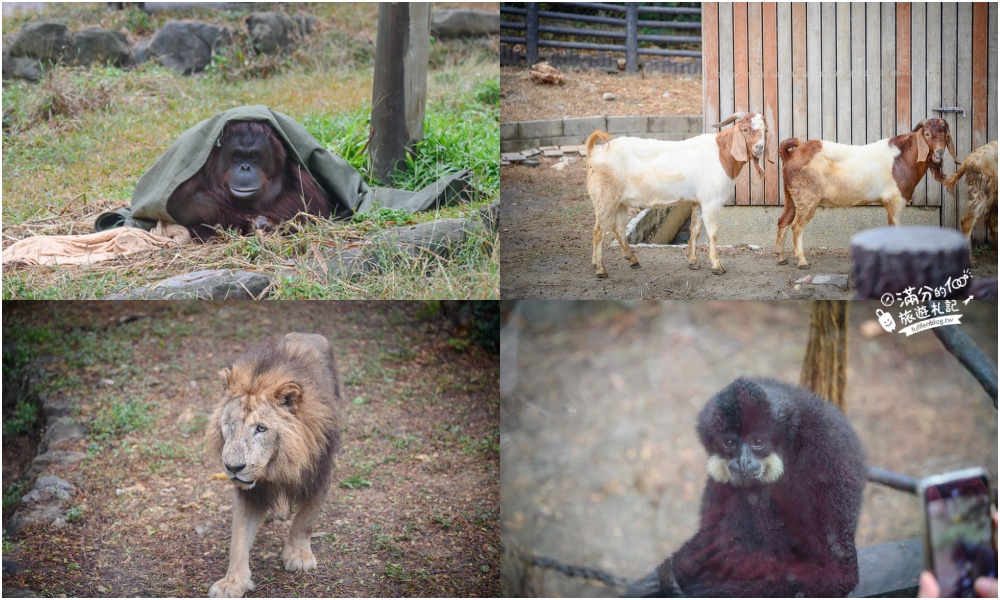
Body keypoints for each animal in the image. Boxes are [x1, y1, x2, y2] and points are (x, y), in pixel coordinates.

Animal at [205, 330, 342, 596]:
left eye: (261, 428)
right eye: (230, 424)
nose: (233, 468)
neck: (278, 463)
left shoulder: (319, 472)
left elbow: (306, 519)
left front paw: (298, 556)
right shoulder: (250, 491)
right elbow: (238, 538)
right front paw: (232, 582)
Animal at [584, 111, 768, 278]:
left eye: (765, 130)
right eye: (745, 129)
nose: (759, 147)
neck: (721, 153)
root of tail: (595, 152)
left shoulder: (697, 201)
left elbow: (695, 229)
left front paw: (693, 262)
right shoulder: (709, 201)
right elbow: (712, 232)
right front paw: (717, 266)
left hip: (619, 202)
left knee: (618, 229)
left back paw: (628, 261)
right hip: (605, 197)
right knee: (598, 230)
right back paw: (600, 269)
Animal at [776, 117, 956, 268]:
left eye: (946, 135)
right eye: (927, 134)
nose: (939, 153)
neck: (902, 158)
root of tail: (790, 155)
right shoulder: (894, 200)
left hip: (791, 195)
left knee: (783, 220)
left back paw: (781, 258)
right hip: (807, 197)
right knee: (796, 225)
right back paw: (802, 261)